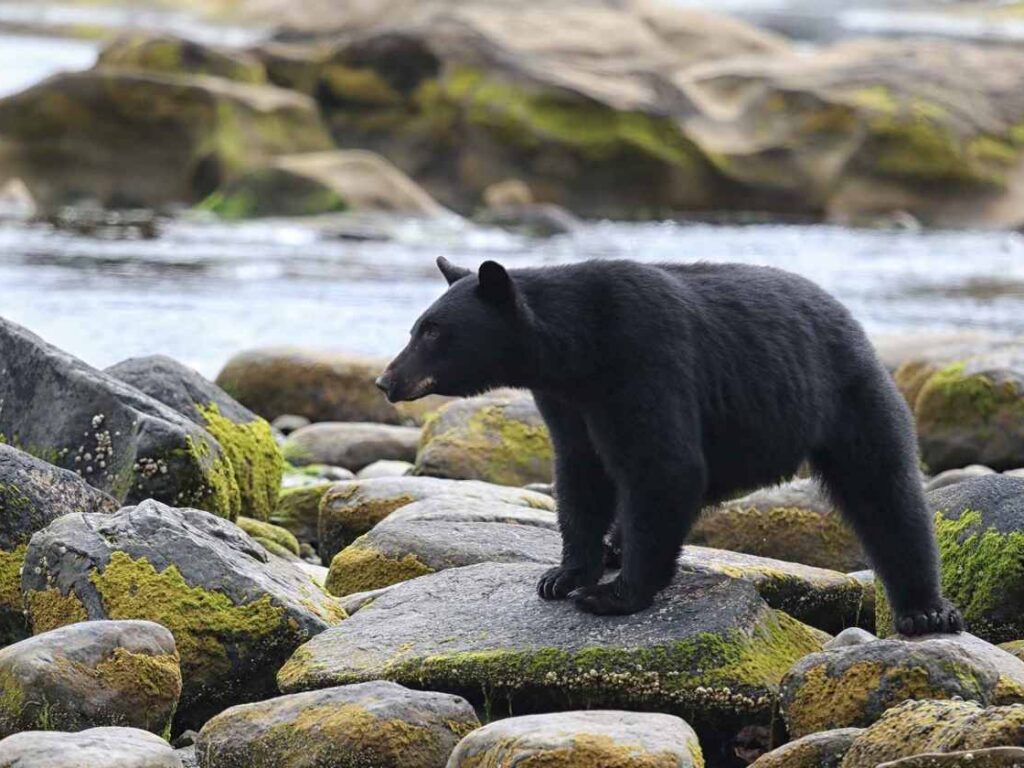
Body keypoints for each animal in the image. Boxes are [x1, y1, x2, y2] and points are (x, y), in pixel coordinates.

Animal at [376, 259, 958, 638]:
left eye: (433, 331)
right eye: (416, 327)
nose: (386, 379)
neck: (577, 349)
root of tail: (849, 318)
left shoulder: (644, 358)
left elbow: (663, 467)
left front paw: (615, 594)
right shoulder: (567, 401)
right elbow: (581, 475)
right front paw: (564, 575)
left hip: (848, 393)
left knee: (885, 492)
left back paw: (925, 611)